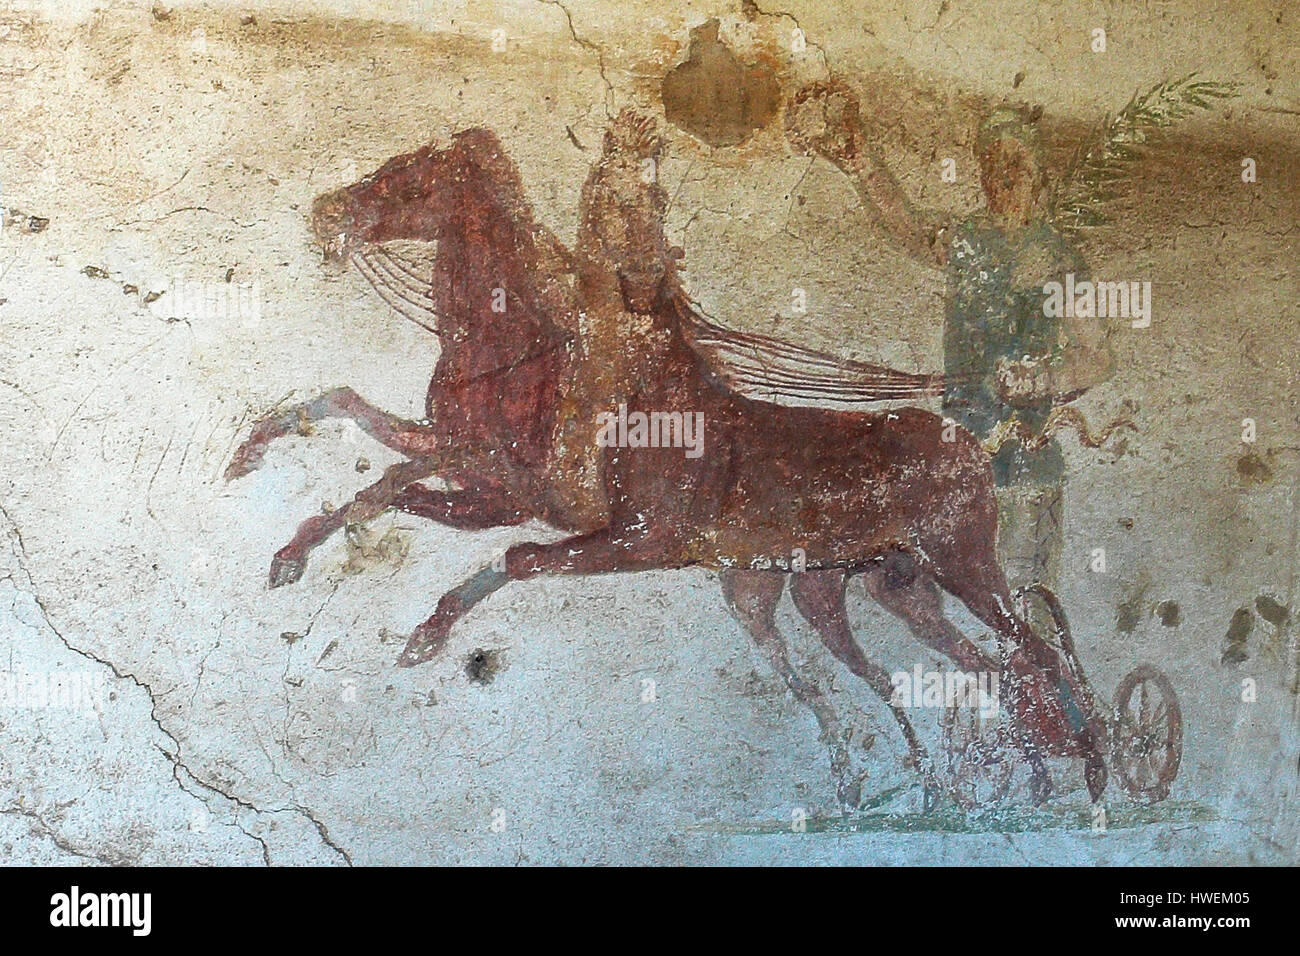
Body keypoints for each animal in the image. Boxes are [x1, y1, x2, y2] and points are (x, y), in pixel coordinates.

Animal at [226, 115, 1107, 811]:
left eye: (408, 173)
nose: (326, 213)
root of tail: (970, 443)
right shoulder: (495, 488)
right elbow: (361, 428)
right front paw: (267, 483)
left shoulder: (583, 516)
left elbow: (488, 538)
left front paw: (419, 627)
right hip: (883, 587)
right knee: (969, 666)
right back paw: (987, 782)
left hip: (963, 564)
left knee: (1027, 650)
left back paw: (1084, 778)